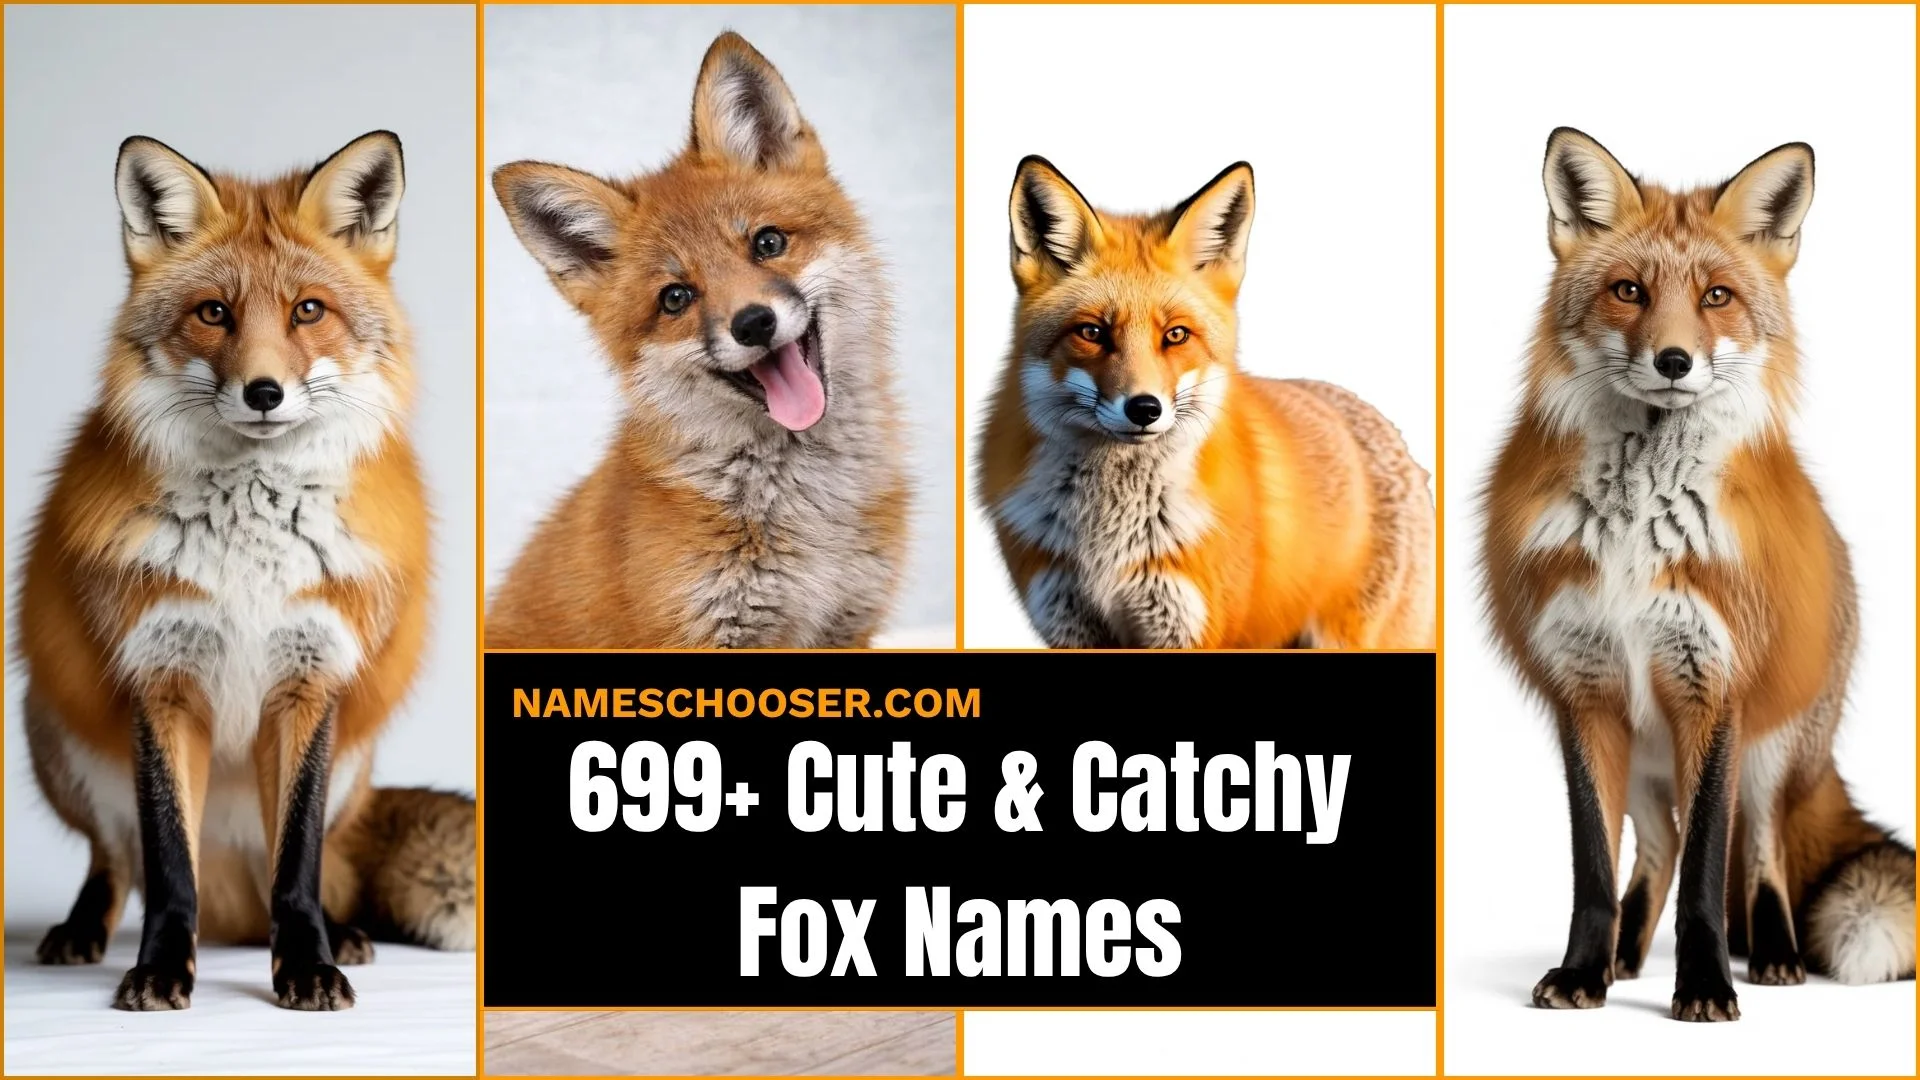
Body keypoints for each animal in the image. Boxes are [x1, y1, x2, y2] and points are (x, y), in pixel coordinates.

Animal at [16, 131, 476, 1012]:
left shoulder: (309, 679)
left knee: (306, 873)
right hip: (55, 730)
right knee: (114, 860)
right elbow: (168, 866)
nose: (264, 392)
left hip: (355, 755)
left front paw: (307, 965)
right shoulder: (160, 677)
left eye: (308, 311)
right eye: (213, 313)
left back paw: (339, 932)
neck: (250, 547)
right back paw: (83, 931)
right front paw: (162, 968)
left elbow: (295, 865)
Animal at [977, 157, 1435, 649]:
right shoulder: (1070, 624)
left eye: (1176, 335)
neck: (1108, 536)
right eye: (1092, 332)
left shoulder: (1188, 627)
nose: (1144, 409)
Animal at [1479, 128, 1917, 1022]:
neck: (1638, 523)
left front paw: (1708, 984)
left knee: (1762, 851)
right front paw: (1582, 972)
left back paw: (1775, 955)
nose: (1674, 360)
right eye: (1629, 291)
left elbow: (1711, 875)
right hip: (1649, 751)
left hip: (1771, 751)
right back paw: (1623, 958)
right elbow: (1595, 867)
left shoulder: (1713, 689)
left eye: (1717, 296)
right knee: (1662, 842)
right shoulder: (1586, 691)